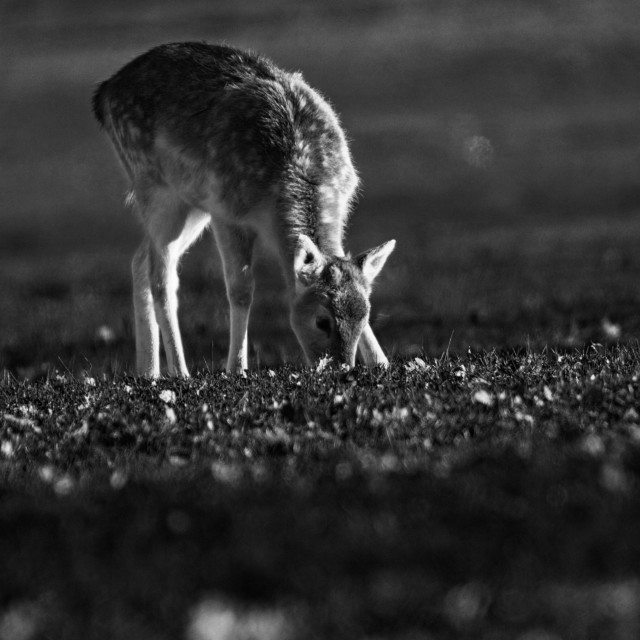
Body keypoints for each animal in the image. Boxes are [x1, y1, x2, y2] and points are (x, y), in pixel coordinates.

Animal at [94, 41, 396, 376]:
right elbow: (241, 290)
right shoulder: (226, 211)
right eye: (322, 320)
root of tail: (103, 94)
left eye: (365, 315)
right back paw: (179, 370)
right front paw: (237, 367)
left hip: (190, 203)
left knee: (140, 260)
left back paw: (148, 371)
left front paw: (382, 362)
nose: (341, 368)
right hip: (154, 185)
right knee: (162, 276)